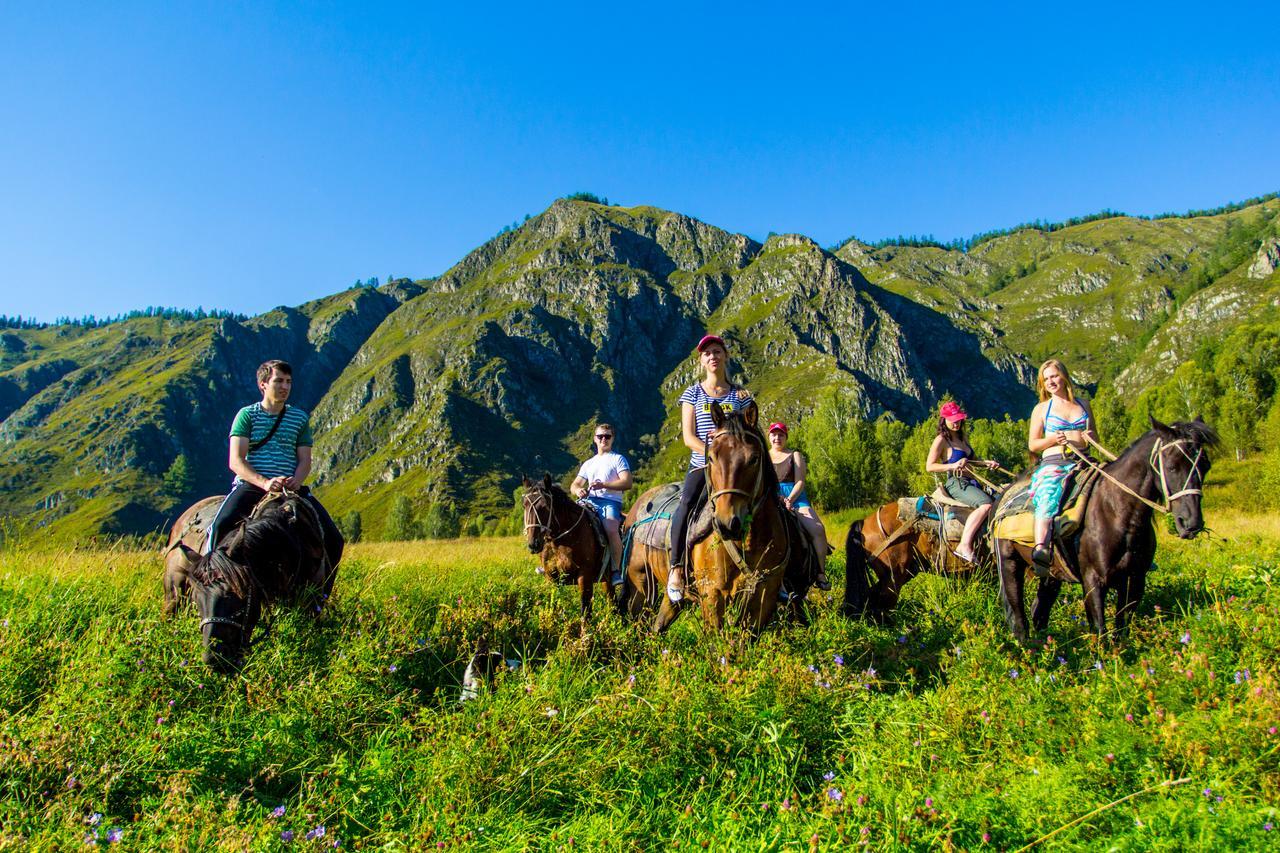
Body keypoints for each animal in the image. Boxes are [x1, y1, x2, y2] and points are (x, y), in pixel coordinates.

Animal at [522, 471, 616, 617]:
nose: (533, 544)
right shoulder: (552, 578)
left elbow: (585, 611)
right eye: (524, 505)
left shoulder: (585, 577)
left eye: (545, 507)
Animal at [655, 399, 814, 630]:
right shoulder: (712, 594)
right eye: (711, 458)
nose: (726, 523)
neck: (746, 542)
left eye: (754, 458)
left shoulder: (763, 596)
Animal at [988, 414, 1218, 640]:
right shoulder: (1093, 581)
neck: (1119, 513)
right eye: (1171, 466)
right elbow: (1100, 631)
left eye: (1205, 466)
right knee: (1018, 617)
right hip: (1009, 563)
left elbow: (1121, 631)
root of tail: (1002, 497)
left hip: (1050, 574)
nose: (1191, 523)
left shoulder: (1135, 580)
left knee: (1039, 610)